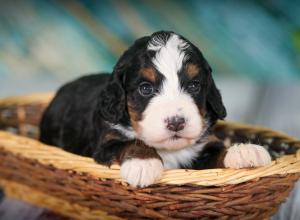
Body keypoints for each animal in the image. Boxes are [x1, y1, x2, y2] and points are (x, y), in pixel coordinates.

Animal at [39, 30, 272, 186]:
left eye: (194, 85)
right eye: (145, 88)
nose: (176, 123)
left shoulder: (203, 150)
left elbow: (218, 151)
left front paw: (244, 151)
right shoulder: (105, 143)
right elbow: (130, 143)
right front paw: (144, 163)